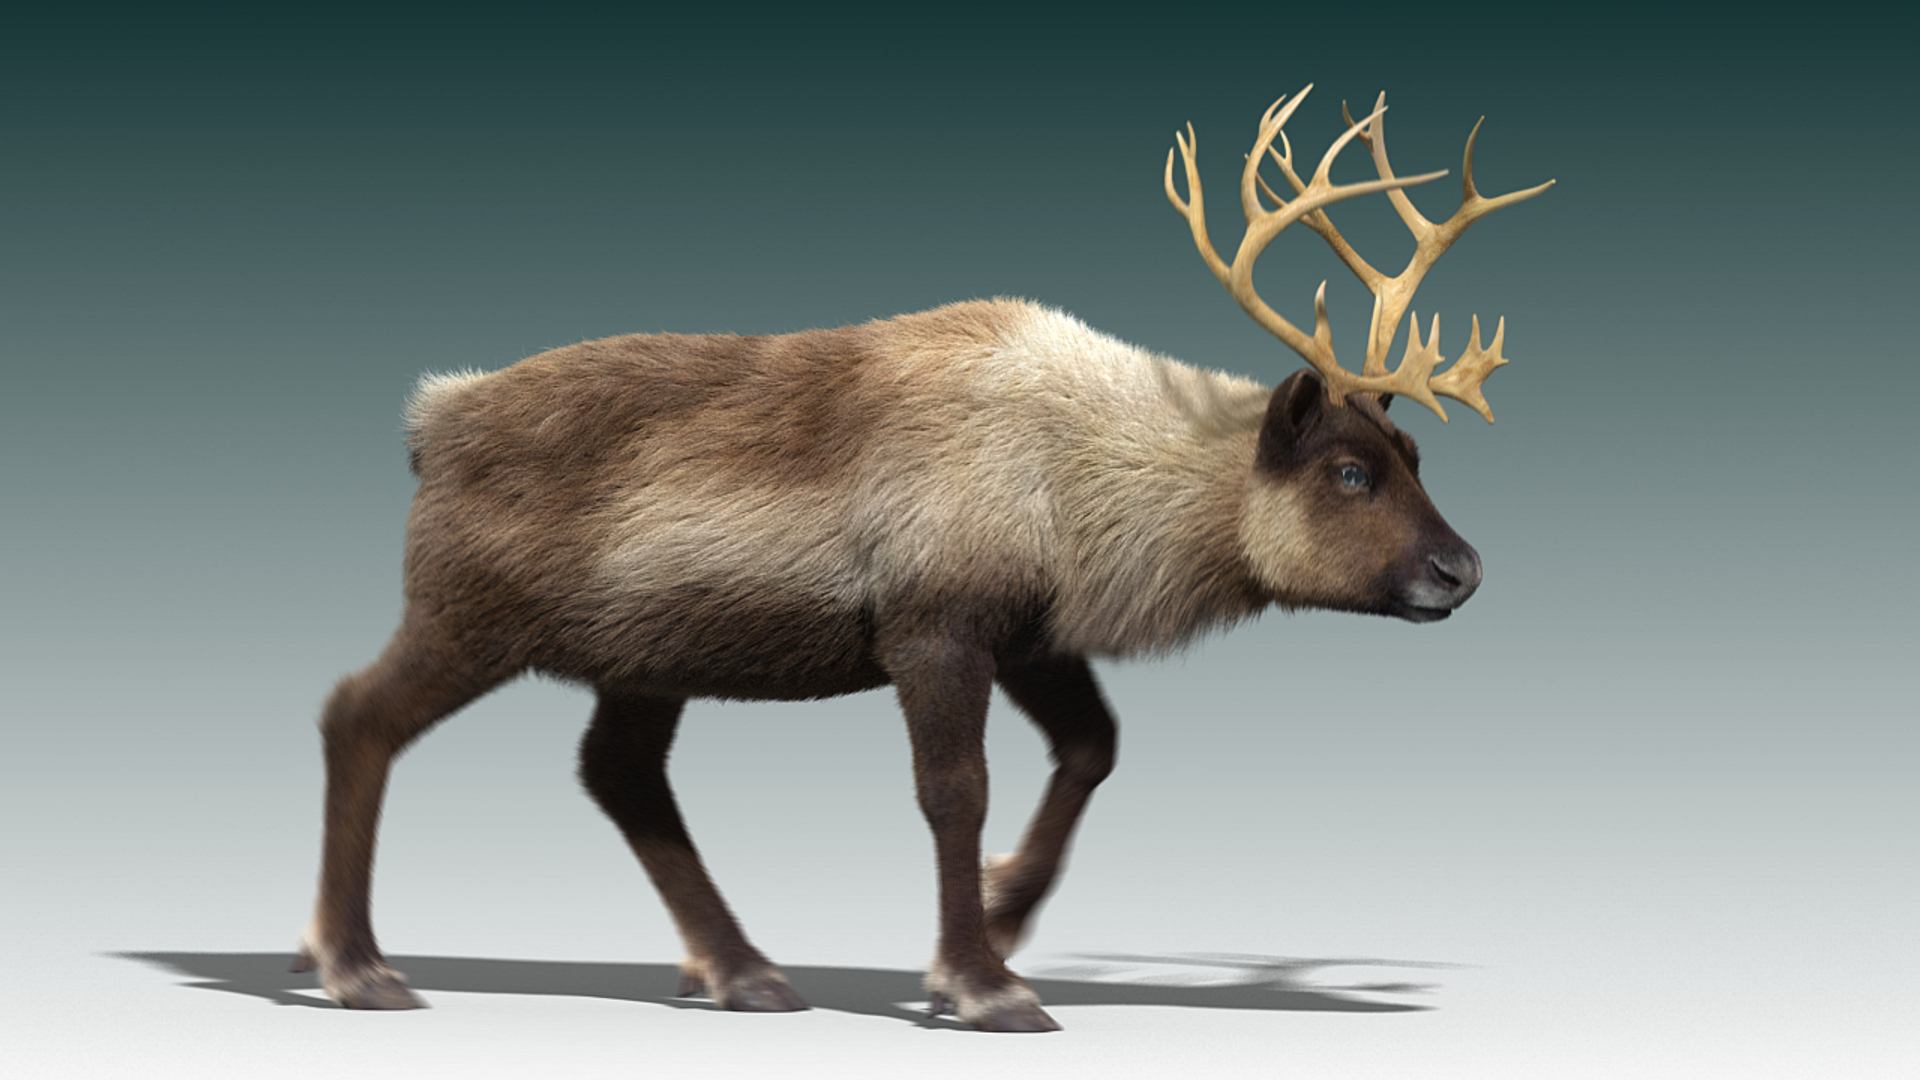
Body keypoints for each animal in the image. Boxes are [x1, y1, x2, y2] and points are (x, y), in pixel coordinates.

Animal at [293, 84, 1552, 1033]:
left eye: (1414, 449)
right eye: (1348, 470)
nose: (1462, 570)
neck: (1087, 475)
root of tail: (432, 418)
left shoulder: (1032, 633)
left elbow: (1094, 748)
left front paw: (997, 921)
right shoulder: (933, 624)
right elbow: (957, 790)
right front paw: (983, 984)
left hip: (642, 653)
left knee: (619, 772)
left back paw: (743, 971)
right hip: (471, 613)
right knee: (357, 712)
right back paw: (357, 967)